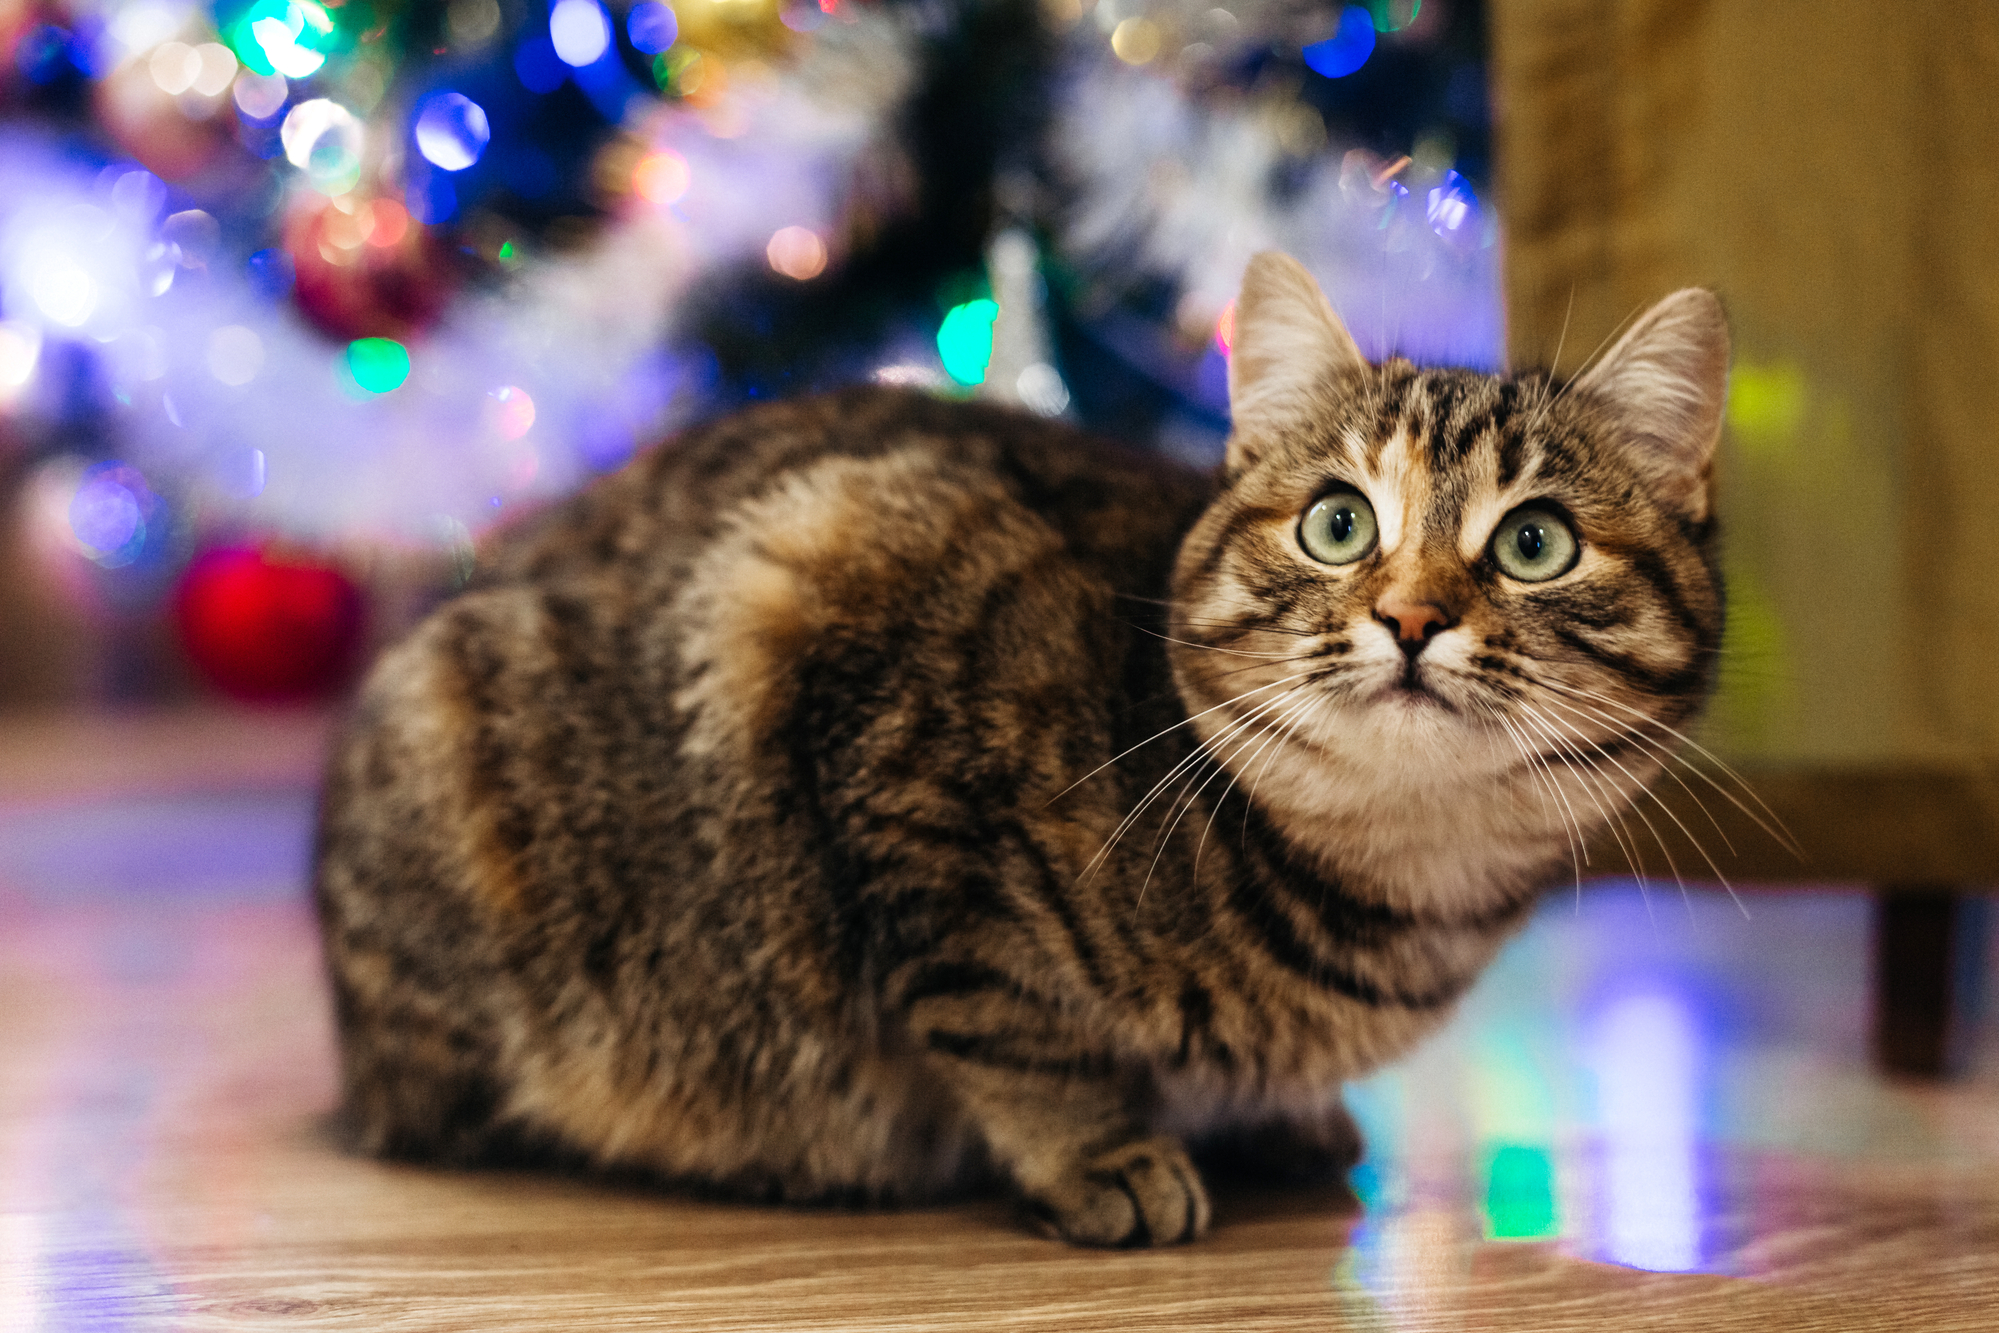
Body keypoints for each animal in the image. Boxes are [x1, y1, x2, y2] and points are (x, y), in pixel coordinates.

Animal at [319, 252, 1727, 1255]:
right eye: (1337, 524)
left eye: (1534, 543)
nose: (1414, 616)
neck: (1401, 886)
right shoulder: (858, 660)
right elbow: (1011, 1015)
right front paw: (1096, 1152)